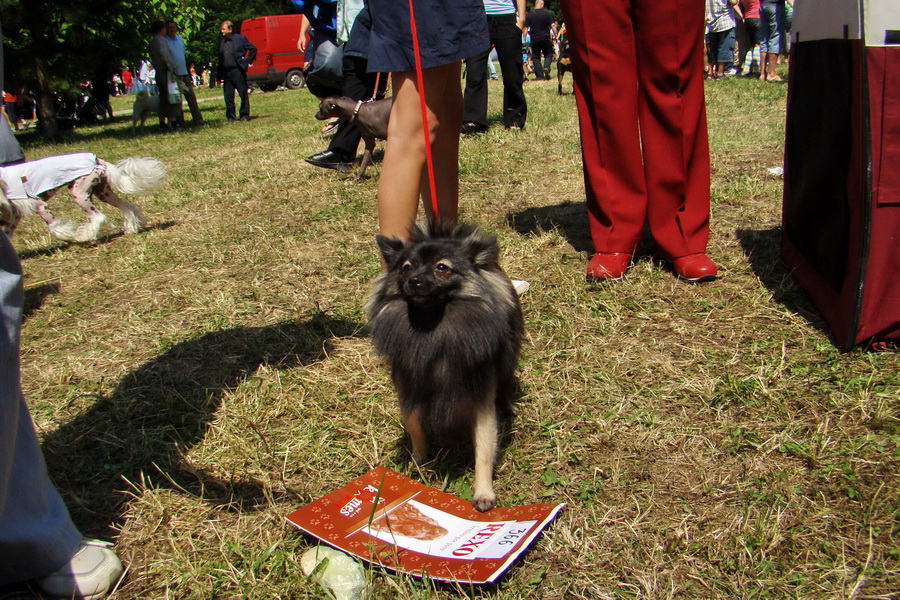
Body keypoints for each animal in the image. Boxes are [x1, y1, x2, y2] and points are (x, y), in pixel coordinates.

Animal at [0, 154, 166, 243]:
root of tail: (96, 159)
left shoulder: (40, 205)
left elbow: (54, 227)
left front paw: (69, 234)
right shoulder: (15, 213)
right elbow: (7, 231)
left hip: (79, 193)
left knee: (98, 216)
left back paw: (84, 235)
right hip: (103, 192)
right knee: (126, 206)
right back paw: (131, 227)